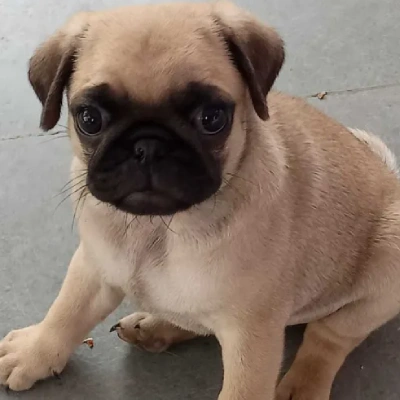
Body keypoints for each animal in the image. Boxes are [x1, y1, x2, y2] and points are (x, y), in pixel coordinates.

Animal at [0, 0, 400, 400]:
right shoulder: (93, 265)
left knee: (328, 337)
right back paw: (156, 326)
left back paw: (302, 384)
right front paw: (34, 351)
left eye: (211, 118)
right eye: (89, 119)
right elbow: (66, 311)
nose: (148, 145)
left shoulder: (251, 339)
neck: (155, 230)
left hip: (383, 270)